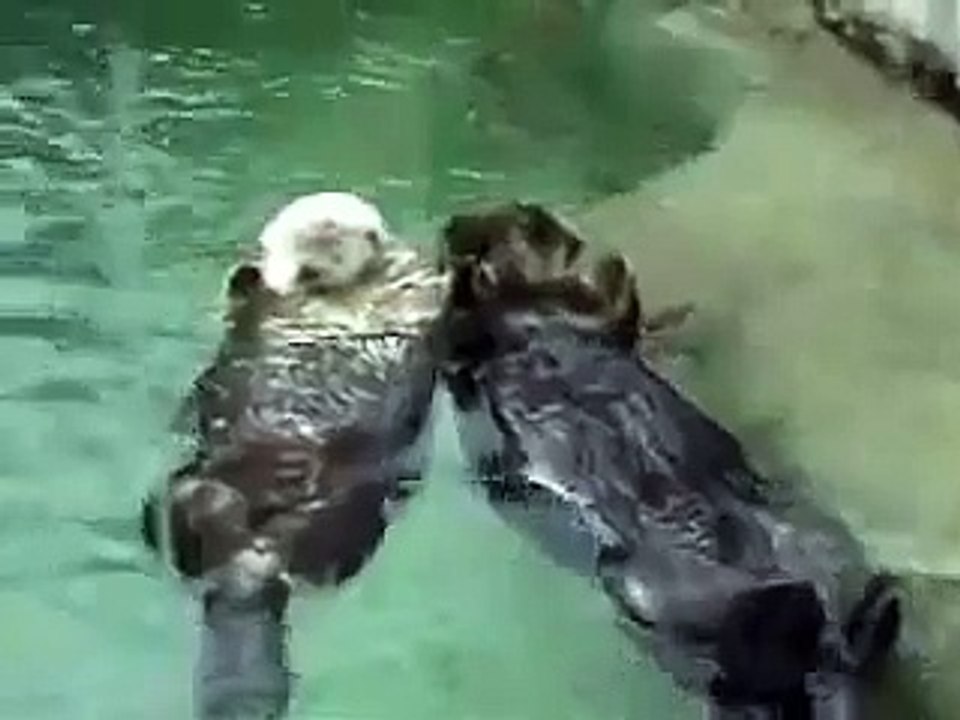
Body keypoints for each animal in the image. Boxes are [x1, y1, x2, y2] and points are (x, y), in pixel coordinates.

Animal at [140, 191, 444, 719]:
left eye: (332, 235)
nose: (303, 272)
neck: (331, 299)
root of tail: (247, 566)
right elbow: (240, 298)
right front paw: (250, 275)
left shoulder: (409, 289)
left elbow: (416, 297)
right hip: (175, 490)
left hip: (349, 516)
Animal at [432, 208, 903, 719]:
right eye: (534, 227)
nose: (569, 238)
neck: (532, 314)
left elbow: (614, 315)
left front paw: (612, 271)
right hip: (650, 592)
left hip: (814, 549)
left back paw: (867, 607)